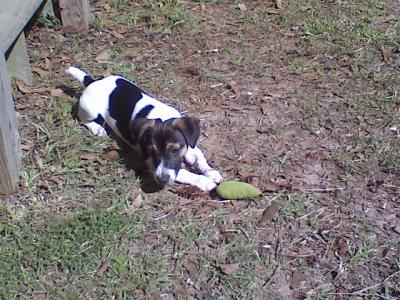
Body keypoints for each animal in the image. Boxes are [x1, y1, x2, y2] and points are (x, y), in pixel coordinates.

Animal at [65, 67, 222, 191]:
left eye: (175, 150)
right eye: (152, 151)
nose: (161, 179)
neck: (162, 118)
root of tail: (92, 81)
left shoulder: (189, 145)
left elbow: (200, 159)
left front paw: (211, 172)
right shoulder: (151, 163)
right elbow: (184, 173)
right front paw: (204, 181)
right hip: (89, 110)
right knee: (83, 119)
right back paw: (97, 129)